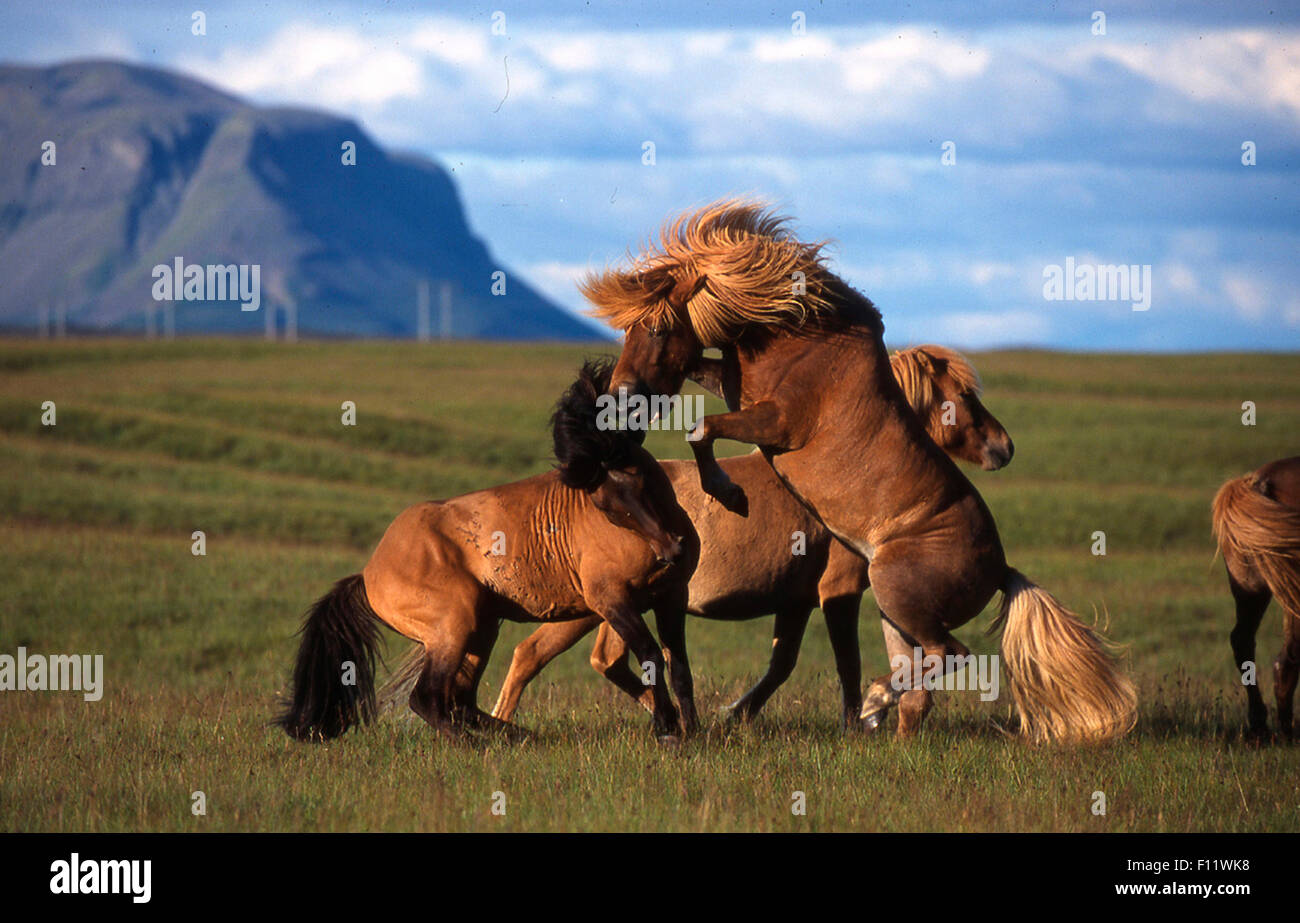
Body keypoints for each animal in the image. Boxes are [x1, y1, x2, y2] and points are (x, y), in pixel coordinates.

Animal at [491, 343, 1008, 733]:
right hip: (595, 607)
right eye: (964, 395)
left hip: (590, 608)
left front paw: (736, 716)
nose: (1005, 447)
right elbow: (847, 663)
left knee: (548, 655)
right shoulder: (837, 591)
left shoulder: (796, 599)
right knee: (572, 657)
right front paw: (856, 724)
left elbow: (783, 664)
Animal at [585, 200, 1133, 743]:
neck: (807, 336)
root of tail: (1000, 569)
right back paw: (884, 722)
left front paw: (728, 493)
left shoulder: (778, 425)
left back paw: (874, 704)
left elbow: (702, 428)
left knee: (948, 657)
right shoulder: (740, 392)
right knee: (923, 679)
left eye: (657, 329)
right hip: (895, 611)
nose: (620, 398)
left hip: (894, 594)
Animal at [1206, 457, 1300, 743]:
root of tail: (1258, 483)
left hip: (1250, 587)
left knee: (1242, 640)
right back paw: (1287, 731)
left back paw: (1260, 725)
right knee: (1288, 655)